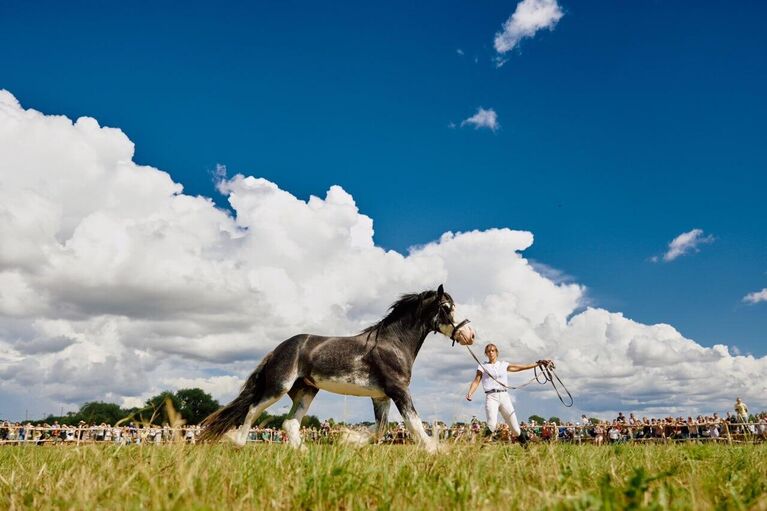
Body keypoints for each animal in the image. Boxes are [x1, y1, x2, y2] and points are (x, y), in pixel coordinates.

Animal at [198, 286, 474, 454]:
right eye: (446, 308)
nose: (469, 334)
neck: (392, 344)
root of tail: (277, 350)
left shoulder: (381, 396)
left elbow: (380, 429)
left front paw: (350, 439)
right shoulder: (398, 390)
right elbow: (414, 422)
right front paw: (434, 449)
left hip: (307, 391)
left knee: (290, 423)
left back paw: (302, 451)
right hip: (279, 387)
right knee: (253, 410)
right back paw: (239, 443)